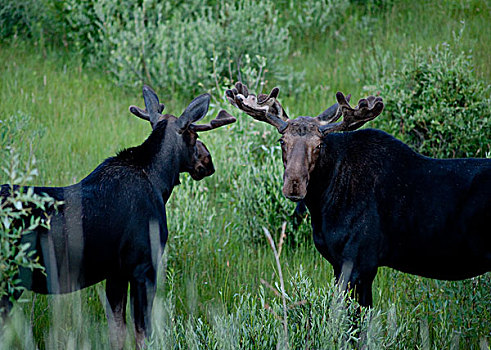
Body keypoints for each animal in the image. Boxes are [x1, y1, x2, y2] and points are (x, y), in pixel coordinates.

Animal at [0, 84, 236, 348]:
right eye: (194, 137)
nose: (208, 161)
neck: (160, 182)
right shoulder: (144, 266)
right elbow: (142, 332)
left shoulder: (115, 272)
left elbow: (117, 331)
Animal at [228, 82, 491, 306]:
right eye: (282, 141)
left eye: (319, 145)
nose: (294, 185)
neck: (323, 203)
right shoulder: (339, 265)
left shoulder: (360, 263)